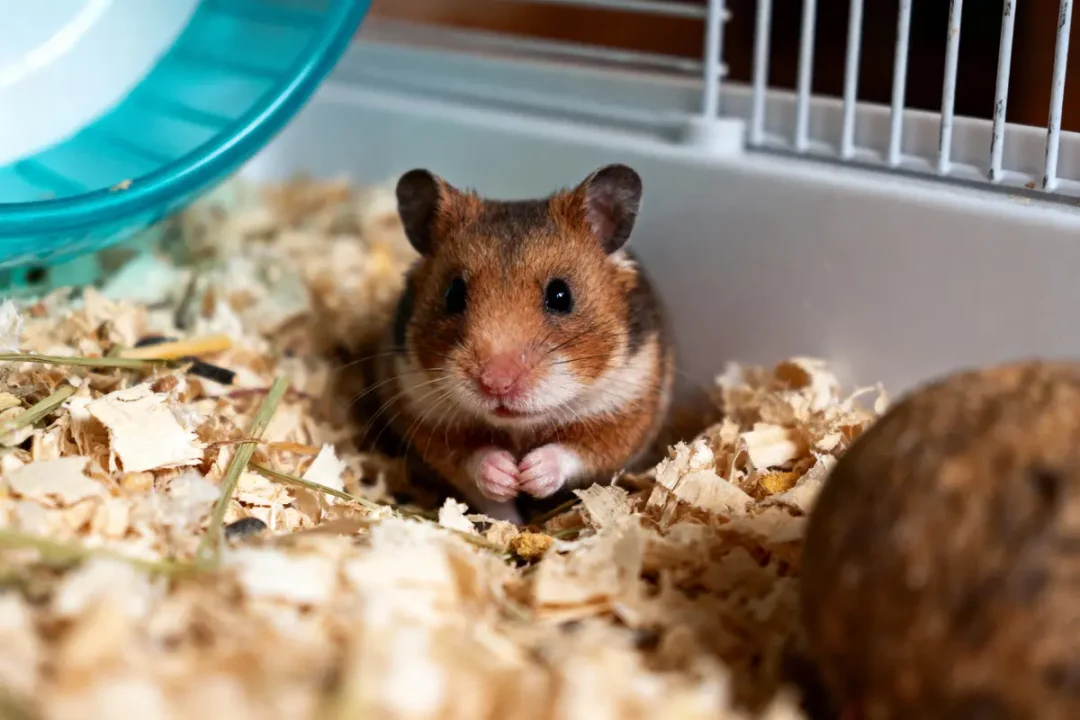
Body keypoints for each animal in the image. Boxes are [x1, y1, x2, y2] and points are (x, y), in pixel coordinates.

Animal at [366, 164, 674, 524]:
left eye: (560, 295)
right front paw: (507, 477)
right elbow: (473, 459)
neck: (519, 427)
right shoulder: (427, 415)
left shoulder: (625, 412)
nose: (496, 385)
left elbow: (575, 451)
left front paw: (529, 474)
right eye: (453, 294)